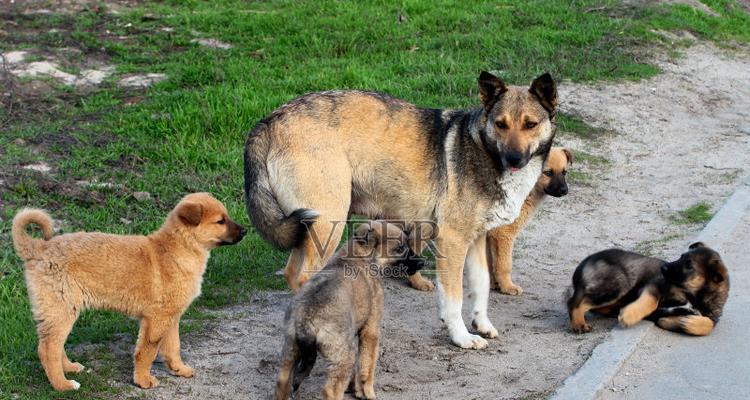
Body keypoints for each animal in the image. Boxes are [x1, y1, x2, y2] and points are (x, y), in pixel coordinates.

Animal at [11, 194, 247, 390]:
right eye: (220, 221)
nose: (245, 231)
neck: (176, 250)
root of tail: (39, 248)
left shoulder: (171, 317)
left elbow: (173, 347)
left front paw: (179, 369)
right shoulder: (156, 320)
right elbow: (146, 352)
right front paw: (143, 380)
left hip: (61, 309)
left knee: (54, 344)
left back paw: (69, 368)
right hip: (62, 307)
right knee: (47, 349)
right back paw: (63, 385)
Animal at [247, 71, 560, 346]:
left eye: (530, 124)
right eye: (500, 124)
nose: (514, 158)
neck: (483, 150)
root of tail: (270, 120)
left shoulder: (477, 240)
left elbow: (481, 287)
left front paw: (482, 325)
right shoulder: (452, 241)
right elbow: (454, 299)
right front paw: (462, 338)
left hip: (308, 229)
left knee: (291, 273)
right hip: (327, 225)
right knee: (303, 277)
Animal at [274, 222, 426, 400]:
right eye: (400, 248)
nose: (422, 263)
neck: (361, 256)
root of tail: (307, 320)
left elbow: (360, 366)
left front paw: (355, 389)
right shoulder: (371, 330)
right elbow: (367, 366)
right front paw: (368, 392)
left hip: (291, 350)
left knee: (282, 383)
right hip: (342, 358)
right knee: (331, 390)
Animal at [568, 242, 728, 336]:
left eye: (689, 266)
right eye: (680, 257)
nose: (663, 268)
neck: (694, 296)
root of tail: (584, 263)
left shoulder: (664, 318)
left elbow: (708, 325)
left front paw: (688, 322)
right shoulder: (654, 285)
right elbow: (651, 302)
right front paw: (628, 315)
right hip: (619, 283)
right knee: (574, 302)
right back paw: (579, 324)